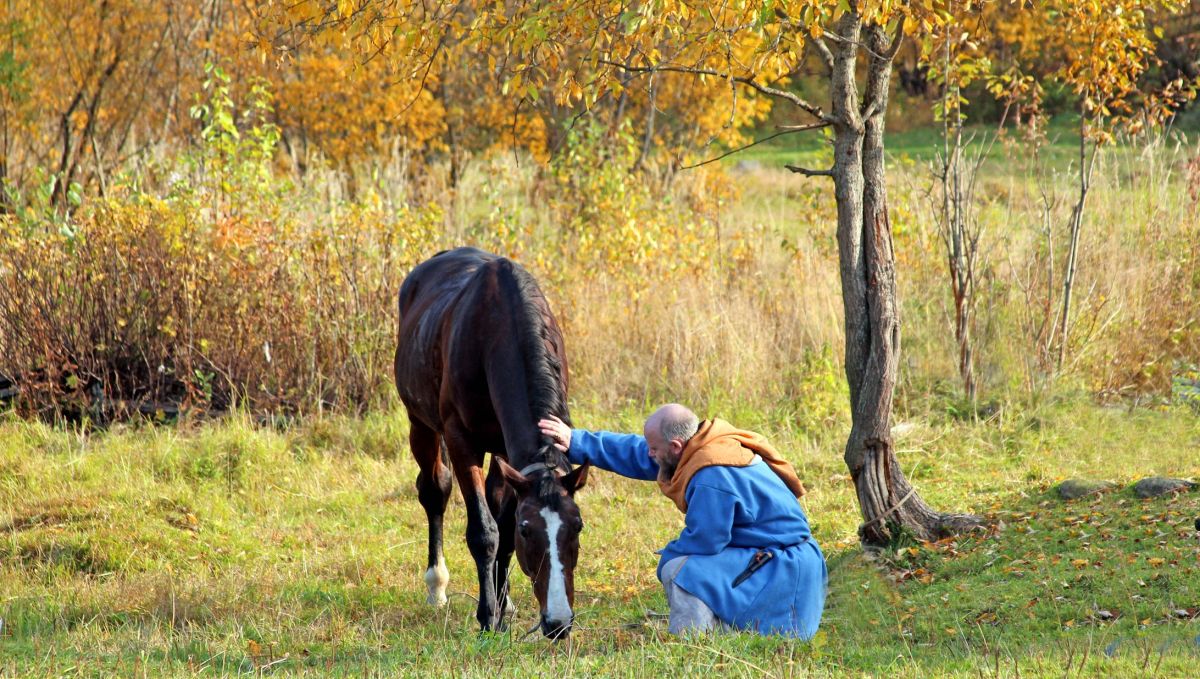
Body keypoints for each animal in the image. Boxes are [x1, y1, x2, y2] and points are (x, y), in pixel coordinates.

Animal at [396, 247, 588, 643]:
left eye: (577, 526)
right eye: (528, 529)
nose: (558, 623)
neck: (499, 330)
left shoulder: (509, 453)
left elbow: (502, 527)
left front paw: (503, 608)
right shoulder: (460, 441)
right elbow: (485, 532)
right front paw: (488, 618)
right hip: (420, 423)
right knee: (434, 490)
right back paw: (437, 586)